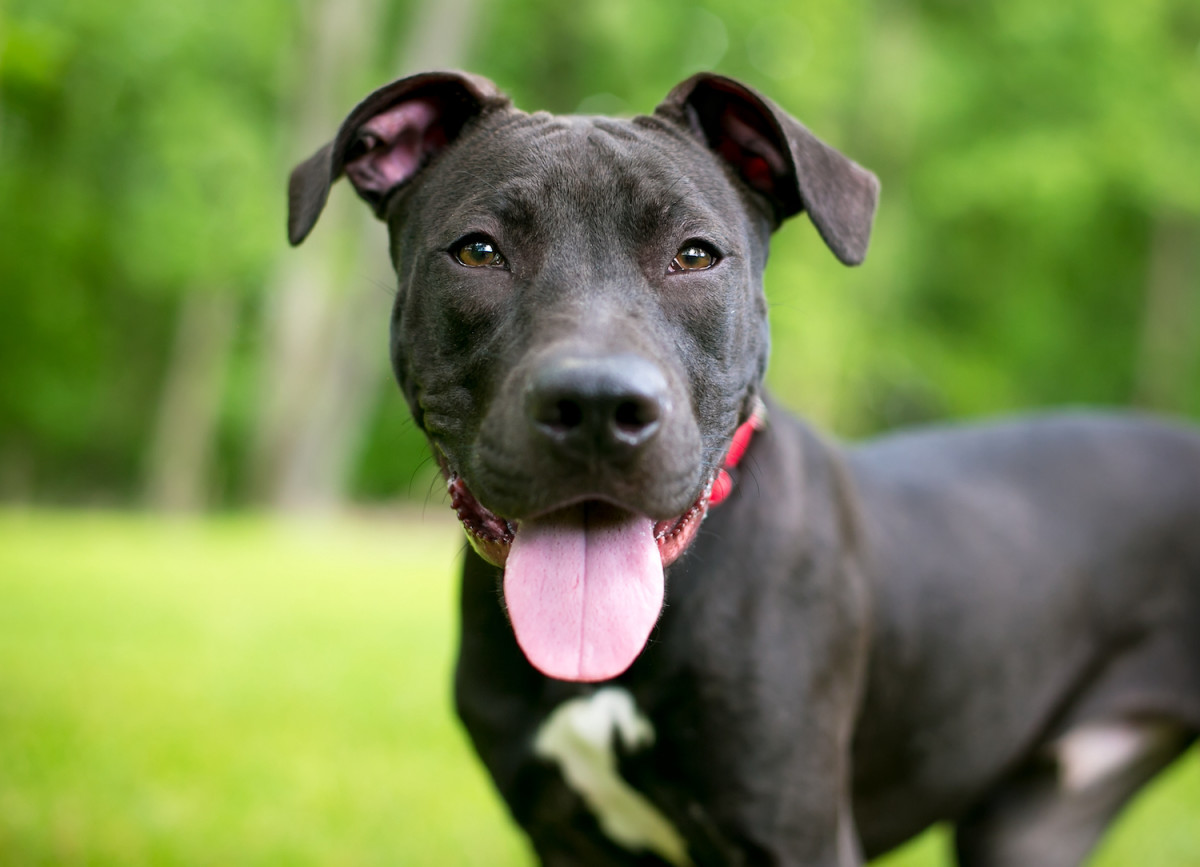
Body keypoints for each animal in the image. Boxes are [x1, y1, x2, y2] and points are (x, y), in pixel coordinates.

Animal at [288, 70, 1200, 859]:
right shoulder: (561, 835)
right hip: (1029, 825)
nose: (596, 406)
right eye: (478, 251)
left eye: (695, 255)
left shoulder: (798, 832)